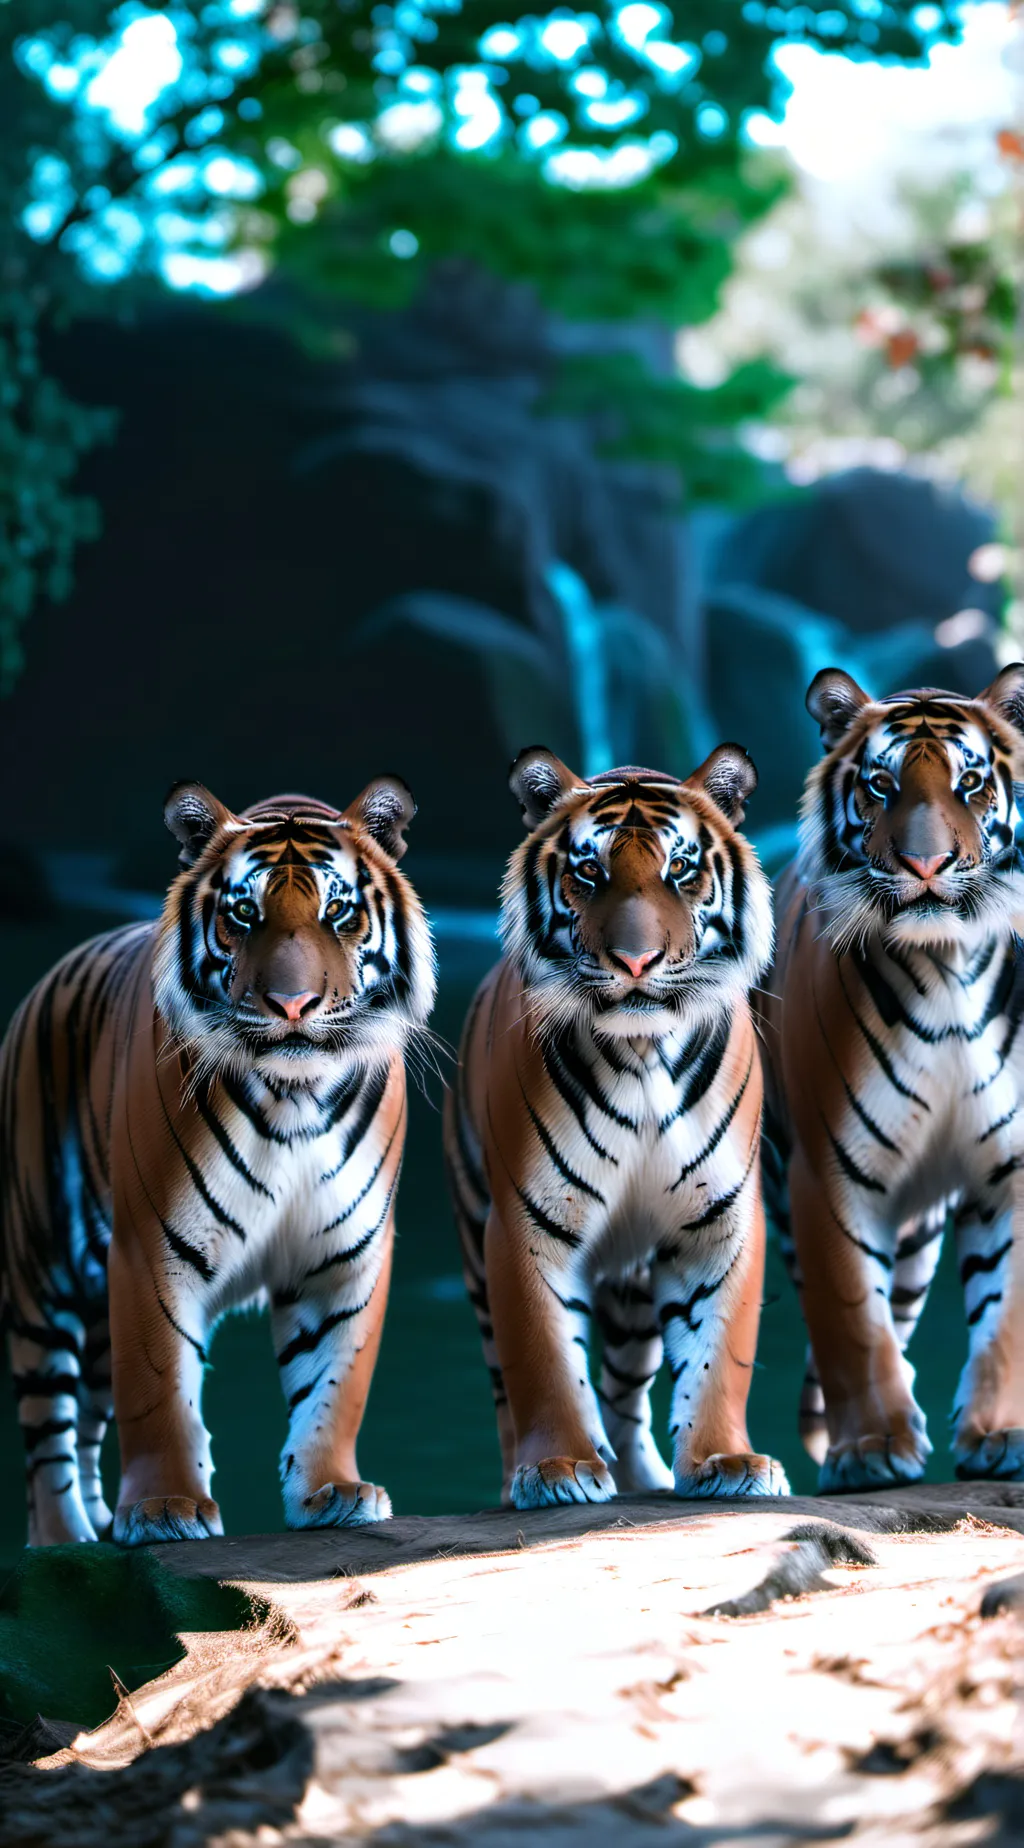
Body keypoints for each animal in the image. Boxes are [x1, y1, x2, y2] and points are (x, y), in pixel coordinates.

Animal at [0, 778, 435, 1546]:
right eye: (243, 913)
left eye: (339, 911)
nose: (292, 1004)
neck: (296, 1098)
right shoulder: (151, 1250)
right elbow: (159, 1388)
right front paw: (166, 1508)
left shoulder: (344, 1257)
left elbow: (334, 1384)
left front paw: (332, 1492)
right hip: (43, 1267)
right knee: (48, 1430)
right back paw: (64, 1538)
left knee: (85, 1417)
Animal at [444, 744, 788, 1509]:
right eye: (589, 873)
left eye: (681, 870)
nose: (636, 962)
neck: (642, 1053)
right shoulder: (523, 1223)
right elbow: (542, 1356)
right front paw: (558, 1469)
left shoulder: (721, 1219)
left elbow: (719, 1353)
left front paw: (725, 1461)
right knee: (511, 1386)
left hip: (633, 1289)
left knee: (625, 1391)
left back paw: (639, 1475)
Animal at [757, 664, 1024, 1493]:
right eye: (881, 784)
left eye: (971, 783)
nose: (927, 867)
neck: (947, 964)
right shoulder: (829, 1173)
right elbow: (849, 1313)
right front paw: (873, 1448)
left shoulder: (1011, 1168)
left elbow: (1005, 1314)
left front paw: (999, 1437)